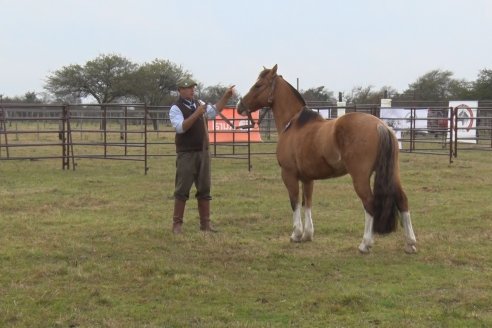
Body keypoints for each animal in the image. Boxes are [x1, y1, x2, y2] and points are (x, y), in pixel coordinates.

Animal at [236, 64, 418, 254]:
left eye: (258, 85)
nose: (240, 106)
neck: (294, 125)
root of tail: (380, 125)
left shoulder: (289, 174)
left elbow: (295, 202)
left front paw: (296, 234)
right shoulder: (307, 178)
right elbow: (307, 202)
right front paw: (307, 234)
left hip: (360, 177)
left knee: (369, 203)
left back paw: (365, 244)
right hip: (392, 173)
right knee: (402, 200)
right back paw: (410, 243)